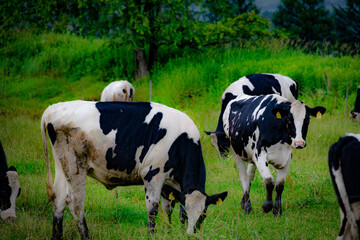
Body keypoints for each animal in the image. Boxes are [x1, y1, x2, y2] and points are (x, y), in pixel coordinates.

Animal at [41, 100, 228, 239]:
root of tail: (53, 109)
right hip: (76, 166)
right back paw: (86, 236)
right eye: (187, 215)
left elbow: (168, 209)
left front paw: (170, 233)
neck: (181, 141)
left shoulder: (170, 184)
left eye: (203, 215)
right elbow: (153, 210)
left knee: (59, 199)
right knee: (75, 204)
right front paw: (152, 236)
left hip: (62, 165)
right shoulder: (153, 175)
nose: (191, 235)